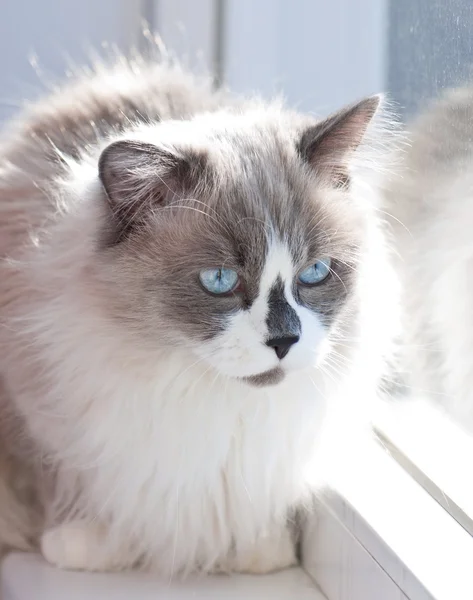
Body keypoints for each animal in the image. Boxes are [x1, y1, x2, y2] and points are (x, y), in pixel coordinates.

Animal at [0, 55, 398, 576]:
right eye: (219, 280)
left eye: (314, 272)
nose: (285, 341)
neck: (208, 398)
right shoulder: (31, 413)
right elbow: (58, 484)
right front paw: (89, 544)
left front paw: (260, 552)